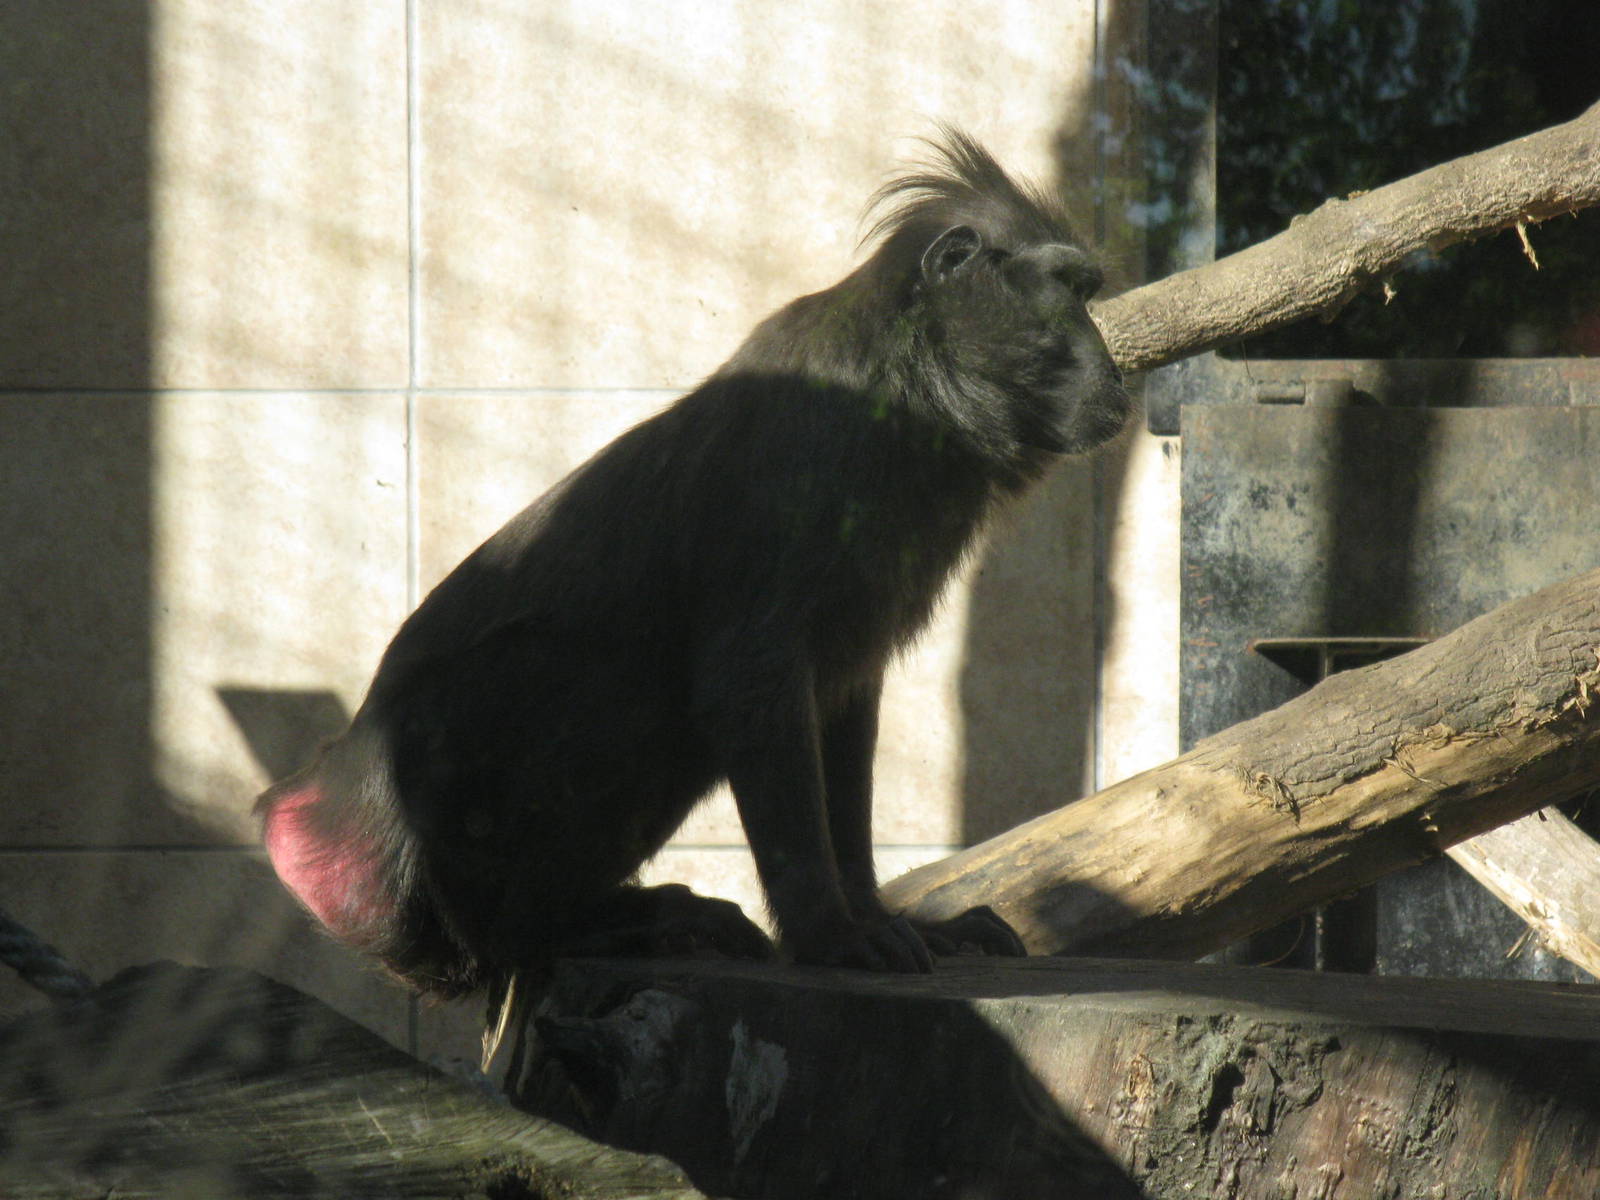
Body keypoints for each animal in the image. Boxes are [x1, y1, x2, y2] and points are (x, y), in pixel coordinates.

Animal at [258, 129, 1130, 1000]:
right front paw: (830, 933)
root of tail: (332, 809)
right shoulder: (809, 454)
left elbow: (843, 701)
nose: (1115, 374)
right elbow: (752, 683)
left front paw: (885, 917)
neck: (916, 389)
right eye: (1069, 292)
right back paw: (567, 927)